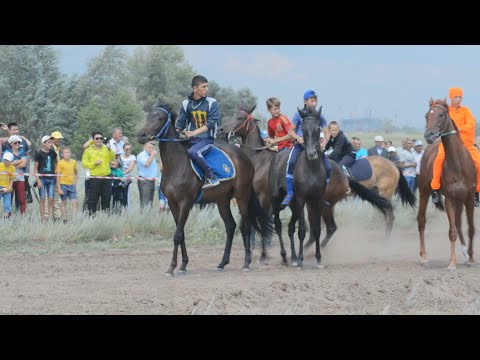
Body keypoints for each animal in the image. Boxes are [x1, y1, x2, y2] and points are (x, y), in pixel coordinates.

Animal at [137, 103, 270, 276]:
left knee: (246, 226)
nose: (141, 135)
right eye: (148, 116)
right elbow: (181, 234)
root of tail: (244, 156)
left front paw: (172, 267)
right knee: (230, 226)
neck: (176, 165)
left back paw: (246, 263)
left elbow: (177, 235)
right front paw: (183, 265)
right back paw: (222, 263)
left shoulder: (186, 203)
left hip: (242, 196)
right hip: (222, 200)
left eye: (160, 118)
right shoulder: (172, 204)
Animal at [416, 97, 476, 268]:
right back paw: (423, 256)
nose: (429, 135)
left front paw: (471, 258)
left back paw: (465, 252)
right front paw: (452, 263)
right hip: (424, 191)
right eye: (426, 115)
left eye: (441, 114)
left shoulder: (468, 198)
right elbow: (452, 231)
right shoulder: (450, 197)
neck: (458, 163)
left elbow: (470, 228)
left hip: (460, 199)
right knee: (421, 220)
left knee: (459, 223)